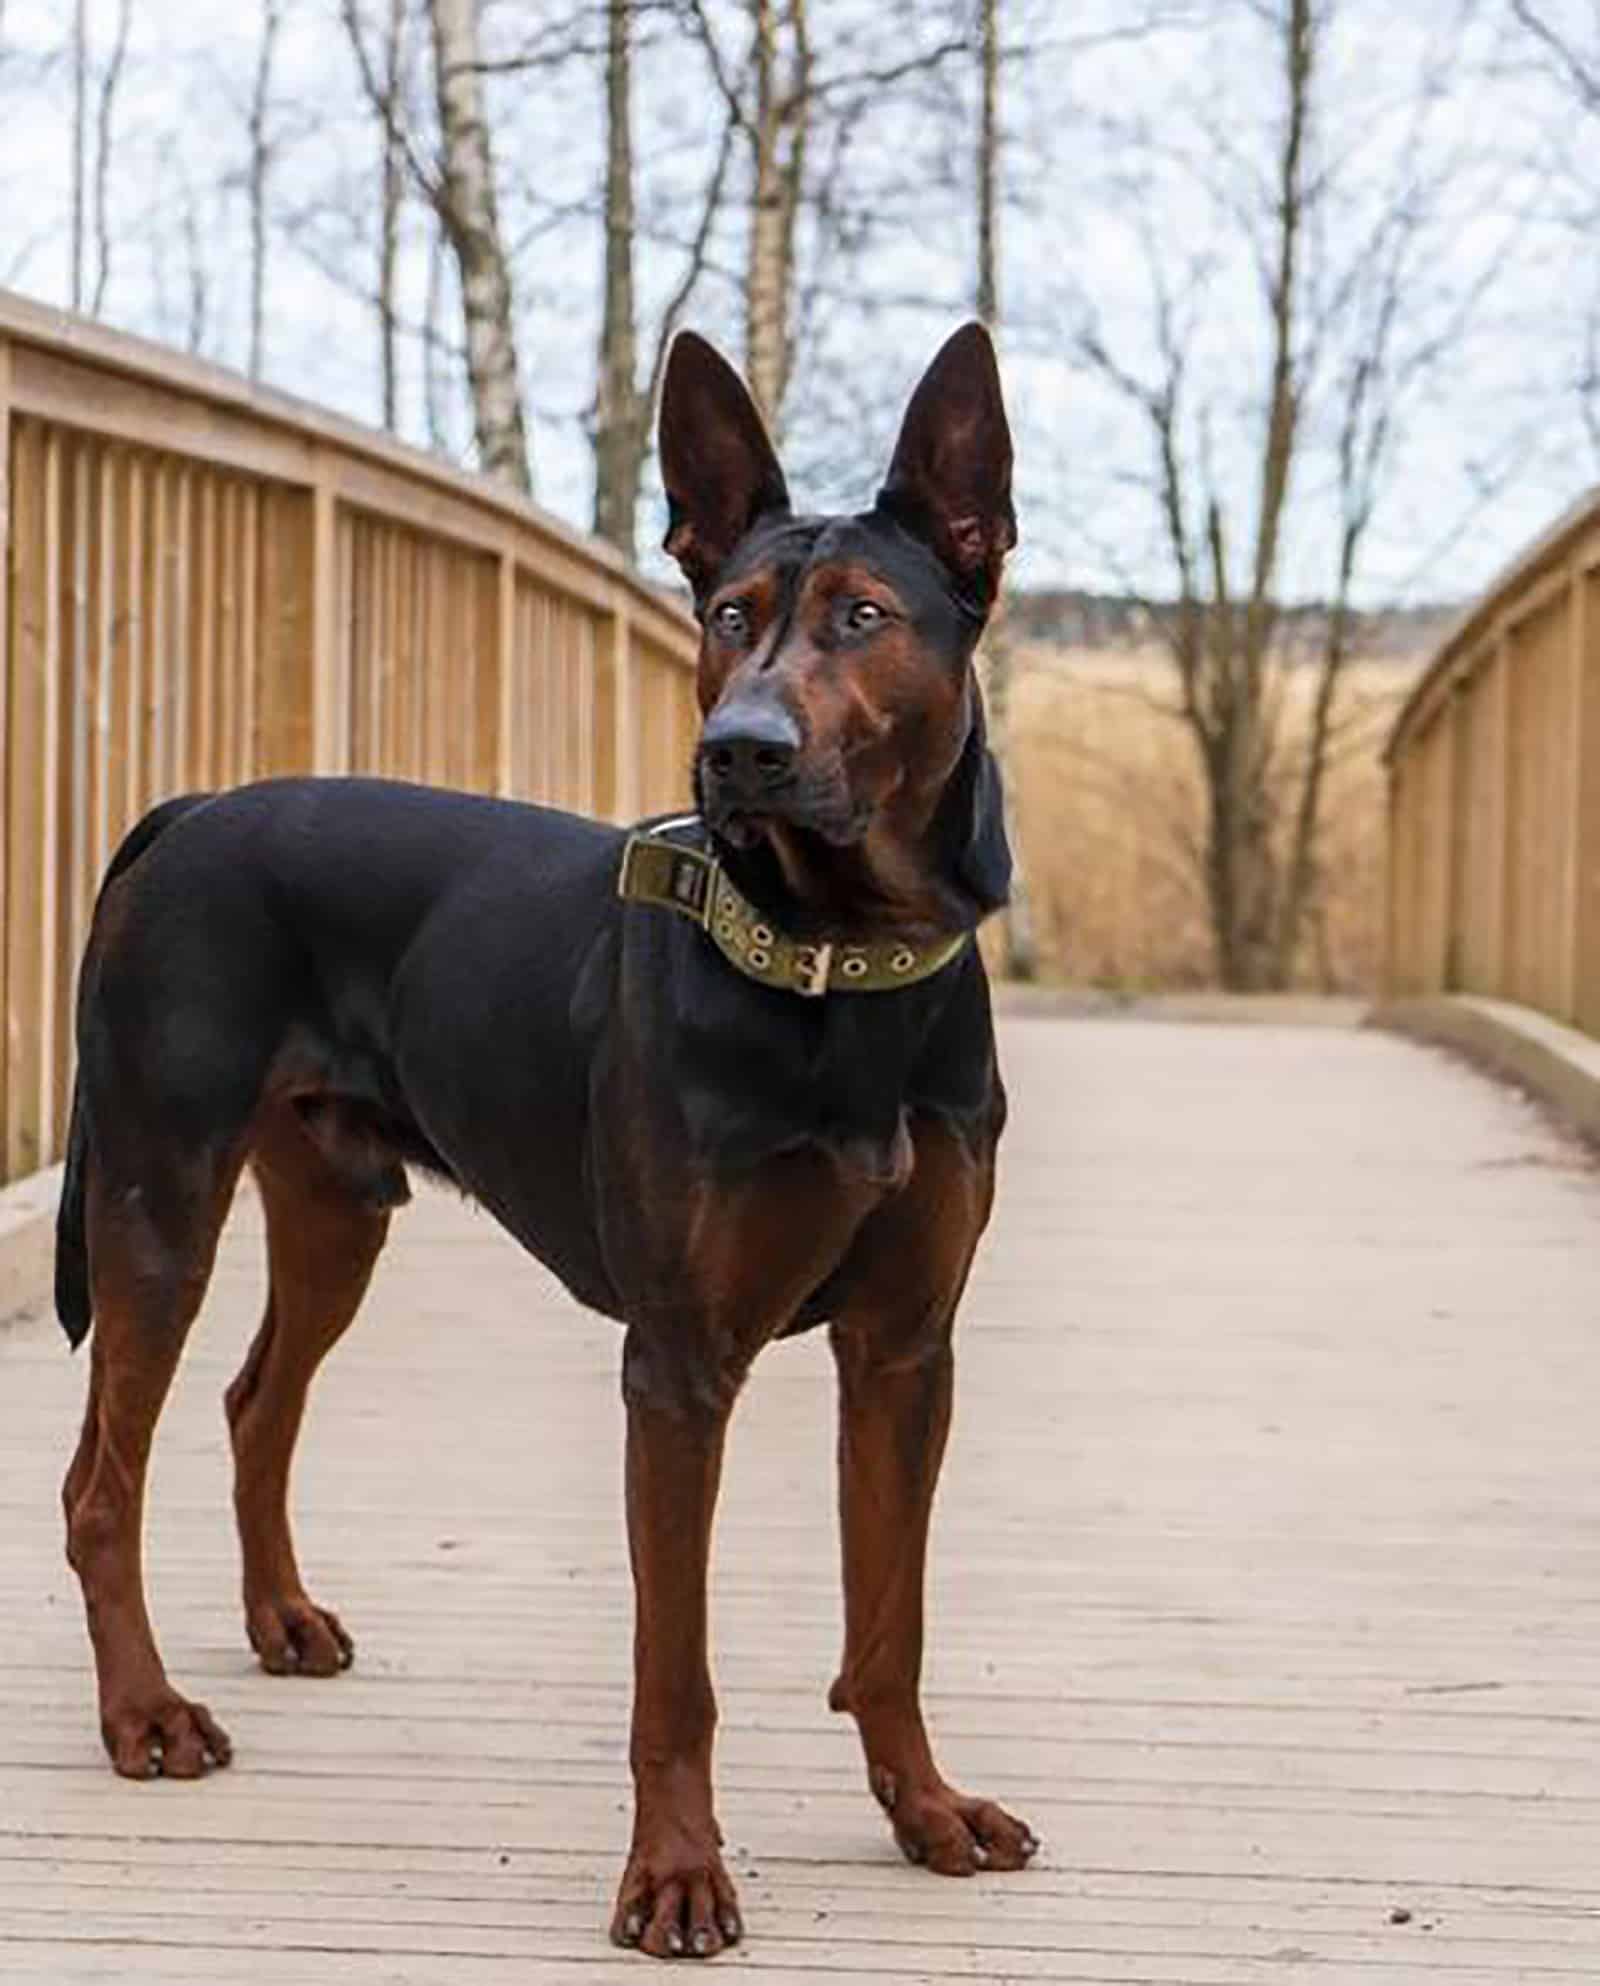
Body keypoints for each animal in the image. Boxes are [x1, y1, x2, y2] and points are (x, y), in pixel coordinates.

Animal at [53, 321, 1040, 1954]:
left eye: (864, 615)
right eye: (726, 615)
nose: (740, 750)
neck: (840, 972)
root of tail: (188, 810)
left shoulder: (909, 1348)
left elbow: (889, 1618)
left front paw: (924, 1809)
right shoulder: (680, 1364)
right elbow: (675, 1673)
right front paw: (677, 1874)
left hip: (335, 1204)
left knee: (257, 1402)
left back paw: (281, 1621)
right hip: (156, 1195)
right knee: (99, 1482)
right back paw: (146, 1713)